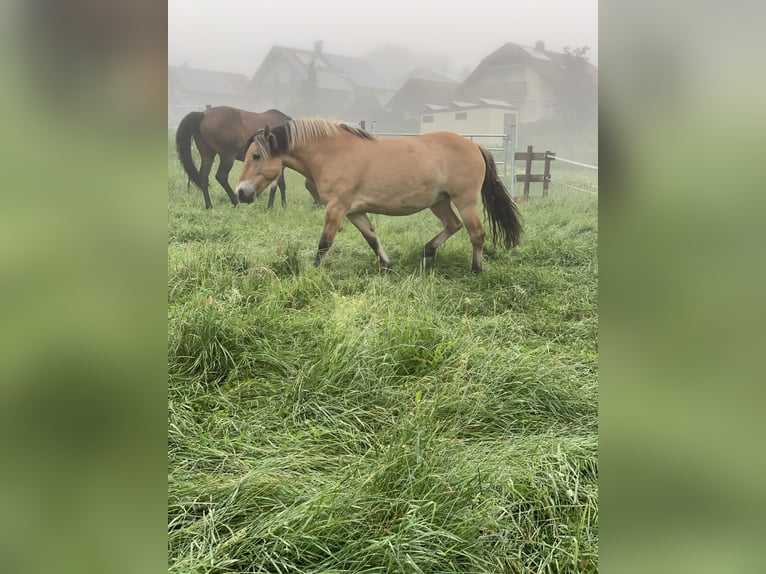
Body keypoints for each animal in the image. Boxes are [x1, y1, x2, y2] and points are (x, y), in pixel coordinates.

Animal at [174, 106, 318, 209]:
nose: (318, 204)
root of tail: (204, 114)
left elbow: (281, 184)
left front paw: (283, 205)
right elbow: (276, 185)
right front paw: (272, 207)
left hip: (207, 154)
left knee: (203, 177)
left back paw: (209, 206)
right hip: (227, 156)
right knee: (221, 176)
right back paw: (235, 202)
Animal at [237, 118, 524, 276]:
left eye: (256, 156)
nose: (241, 192)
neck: (332, 153)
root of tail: (474, 145)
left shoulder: (336, 208)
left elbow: (324, 243)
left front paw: (313, 271)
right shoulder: (354, 211)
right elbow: (372, 238)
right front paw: (386, 265)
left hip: (465, 200)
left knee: (476, 233)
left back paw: (476, 270)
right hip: (439, 201)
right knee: (453, 225)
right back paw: (428, 253)